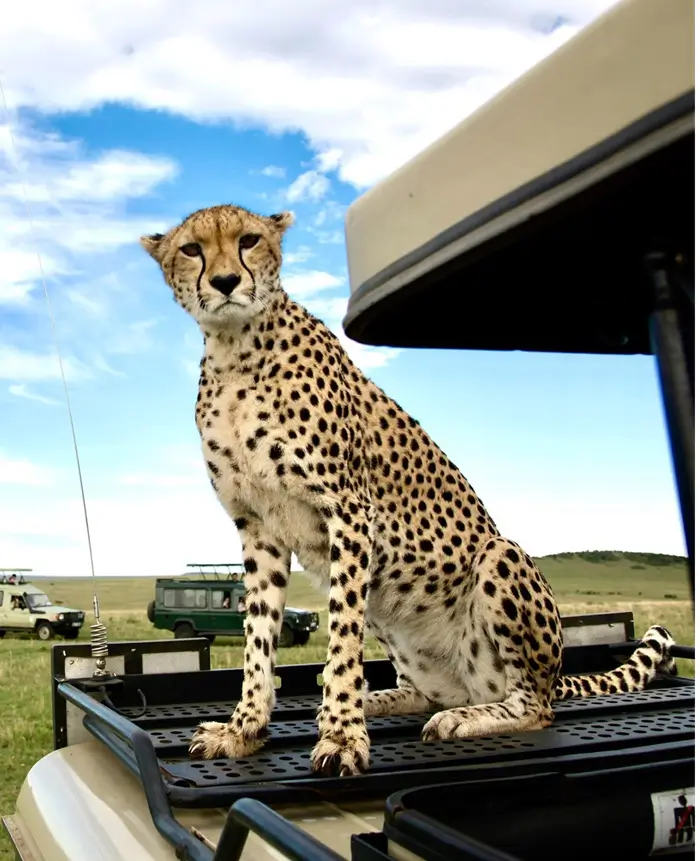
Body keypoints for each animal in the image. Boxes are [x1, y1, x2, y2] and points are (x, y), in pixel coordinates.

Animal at [140, 203, 677, 777]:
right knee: (433, 691)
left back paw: (460, 716)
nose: (225, 282)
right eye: (191, 249)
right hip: (394, 617)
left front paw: (343, 734)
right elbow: (259, 637)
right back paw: (376, 699)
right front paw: (245, 729)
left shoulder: (349, 512)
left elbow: (341, 636)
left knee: (534, 706)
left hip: (499, 557)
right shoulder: (259, 527)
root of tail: (553, 676)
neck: (236, 348)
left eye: (249, 240)